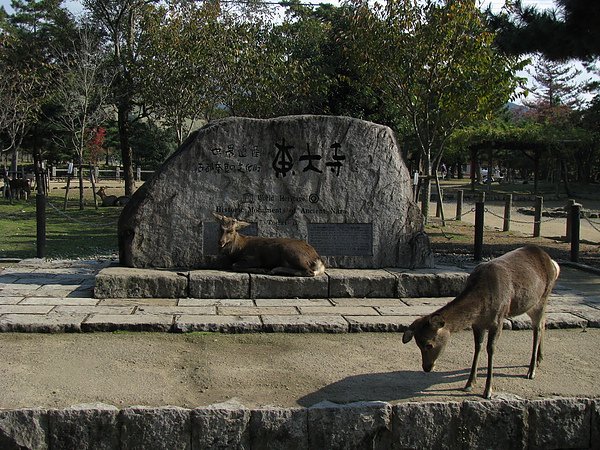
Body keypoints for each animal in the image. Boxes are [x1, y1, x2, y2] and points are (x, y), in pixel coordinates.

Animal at [400, 246, 560, 398]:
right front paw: (469, 384)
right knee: (543, 323)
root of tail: (552, 262)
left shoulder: (498, 319)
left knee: (537, 328)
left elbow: (491, 349)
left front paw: (488, 391)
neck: (482, 303)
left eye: (429, 344)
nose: (426, 368)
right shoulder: (477, 324)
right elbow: (477, 347)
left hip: (543, 297)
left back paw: (531, 371)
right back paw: (539, 359)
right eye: (417, 344)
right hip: (531, 304)